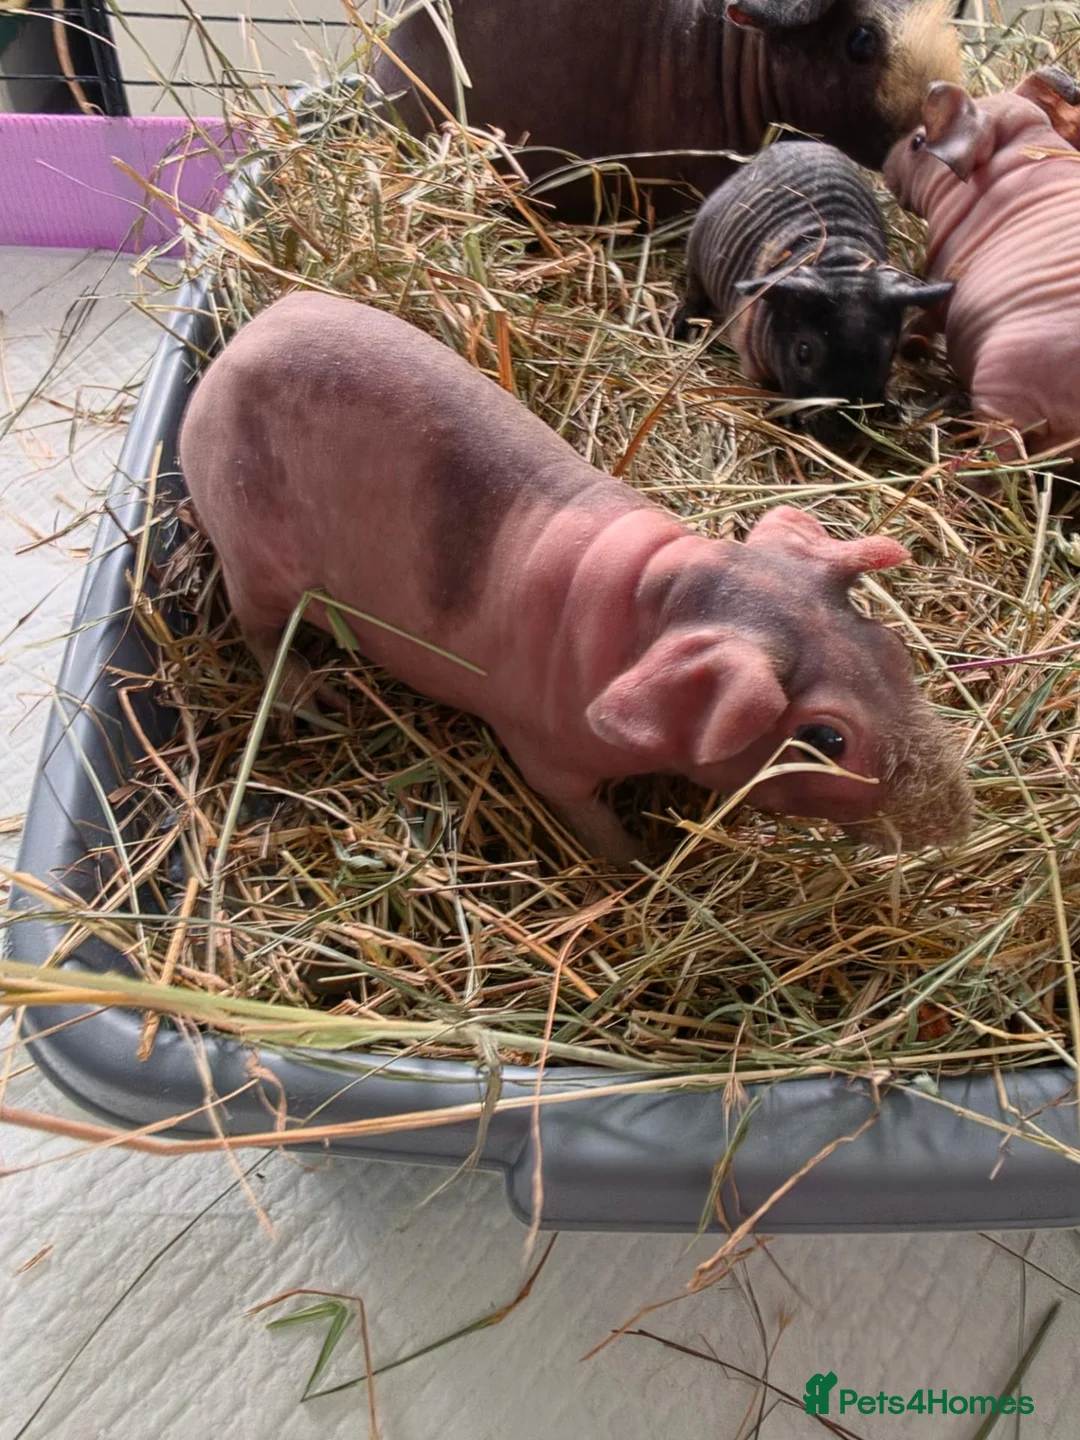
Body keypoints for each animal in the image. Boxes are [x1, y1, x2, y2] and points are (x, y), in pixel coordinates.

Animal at [178, 292, 972, 861]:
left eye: (891, 650)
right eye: (827, 739)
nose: (957, 823)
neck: (650, 612)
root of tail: (232, 349)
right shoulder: (542, 752)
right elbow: (588, 820)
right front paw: (640, 863)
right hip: (253, 563)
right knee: (259, 632)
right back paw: (316, 698)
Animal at [673, 139, 952, 423]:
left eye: (888, 352)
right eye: (803, 353)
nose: (841, 432)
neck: (841, 263)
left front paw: (891, 406)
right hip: (696, 253)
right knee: (694, 291)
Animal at [884, 74, 1080, 467]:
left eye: (918, 142)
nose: (884, 162)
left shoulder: (941, 280)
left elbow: (923, 321)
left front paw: (913, 347)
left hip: (1002, 394)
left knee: (1002, 456)